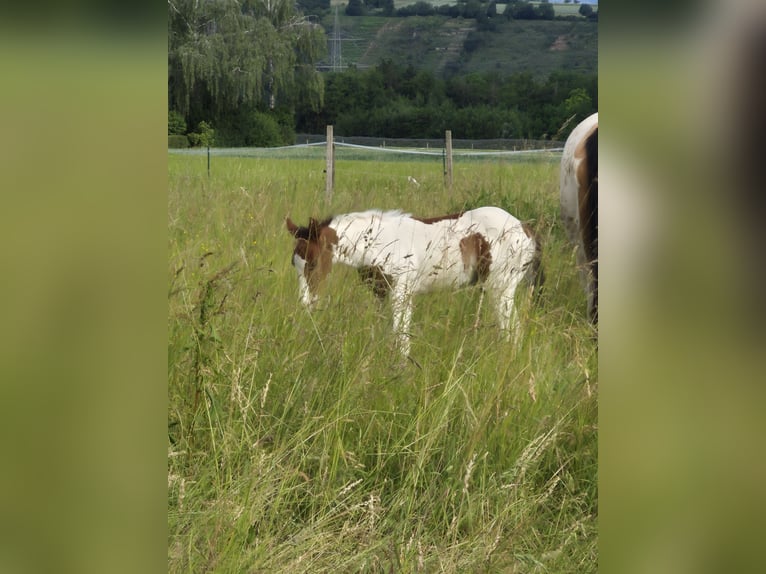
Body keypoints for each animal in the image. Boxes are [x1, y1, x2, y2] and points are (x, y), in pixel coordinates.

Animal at [285, 207, 542, 356]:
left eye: (313, 263)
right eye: (294, 263)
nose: (305, 304)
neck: (377, 242)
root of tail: (525, 228)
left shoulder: (401, 292)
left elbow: (401, 335)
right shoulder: (380, 293)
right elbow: (384, 330)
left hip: (501, 288)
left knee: (513, 330)